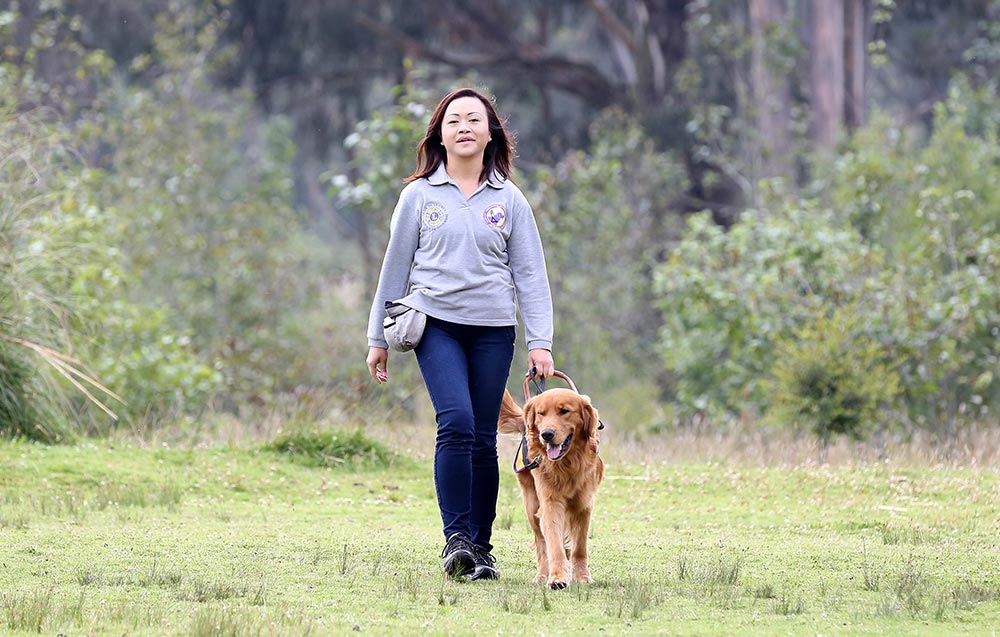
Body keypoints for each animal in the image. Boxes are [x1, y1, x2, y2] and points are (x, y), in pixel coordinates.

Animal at [498, 386, 604, 588]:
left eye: (564, 411)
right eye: (541, 413)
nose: (546, 434)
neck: (568, 464)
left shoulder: (584, 505)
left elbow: (580, 547)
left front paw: (582, 576)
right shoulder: (550, 503)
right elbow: (554, 545)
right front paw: (557, 577)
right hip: (532, 506)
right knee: (541, 543)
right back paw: (542, 575)